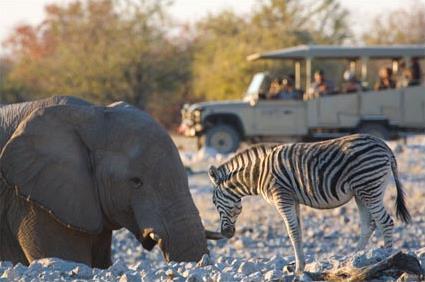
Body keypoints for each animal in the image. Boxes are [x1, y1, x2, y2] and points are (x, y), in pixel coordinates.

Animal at [207, 135, 410, 274]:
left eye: (214, 202)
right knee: (369, 225)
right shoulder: (293, 199)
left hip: (369, 187)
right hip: (361, 192)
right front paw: (301, 266)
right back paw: (352, 260)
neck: (258, 173)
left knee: (385, 222)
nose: (226, 233)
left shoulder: (282, 198)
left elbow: (292, 232)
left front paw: (298, 269)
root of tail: (384, 145)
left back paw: (387, 261)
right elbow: (298, 232)